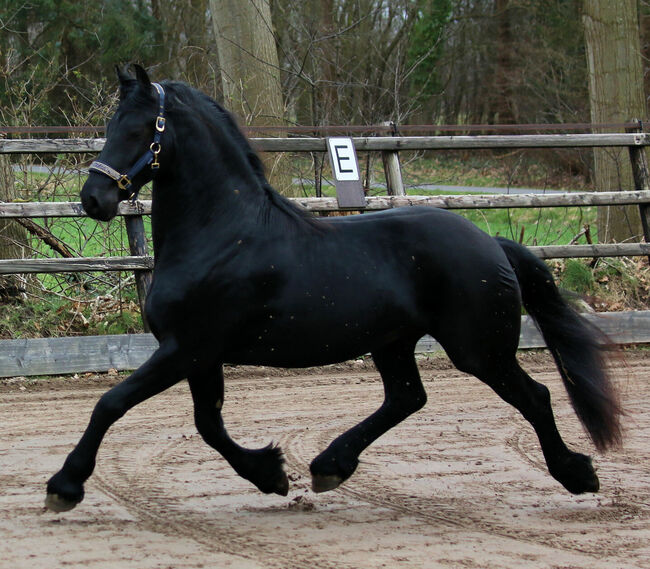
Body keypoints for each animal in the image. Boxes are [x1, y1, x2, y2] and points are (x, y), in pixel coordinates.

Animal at [43, 65, 620, 510]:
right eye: (112, 124)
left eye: (143, 128)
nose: (93, 199)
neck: (222, 233)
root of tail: (491, 242)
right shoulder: (199, 355)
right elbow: (208, 425)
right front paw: (271, 474)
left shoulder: (187, 348)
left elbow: (112, 404)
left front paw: (64, 486)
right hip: (394, 342)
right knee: (407, 397)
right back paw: (329, 466)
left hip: (479, 350)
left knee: (535, 396)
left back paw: (577, 474)